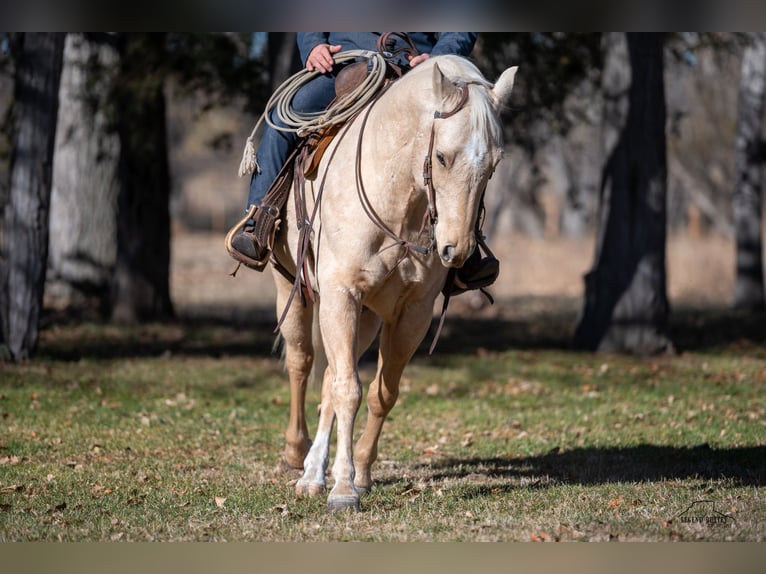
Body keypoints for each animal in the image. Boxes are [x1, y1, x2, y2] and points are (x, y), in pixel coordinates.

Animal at [272, 55, 520, 512]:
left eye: (494, 165)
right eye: (441, 157)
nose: (456, 250)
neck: (399, 204)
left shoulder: (412, 313)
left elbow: (379, 393)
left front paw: (361, 474)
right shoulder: (339, 295)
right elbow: (347, 389)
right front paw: (344, 490)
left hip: (367, 317)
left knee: (330, 379)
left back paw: (315, 471)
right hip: (294, 290)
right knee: (303, 362)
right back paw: (298, 458)